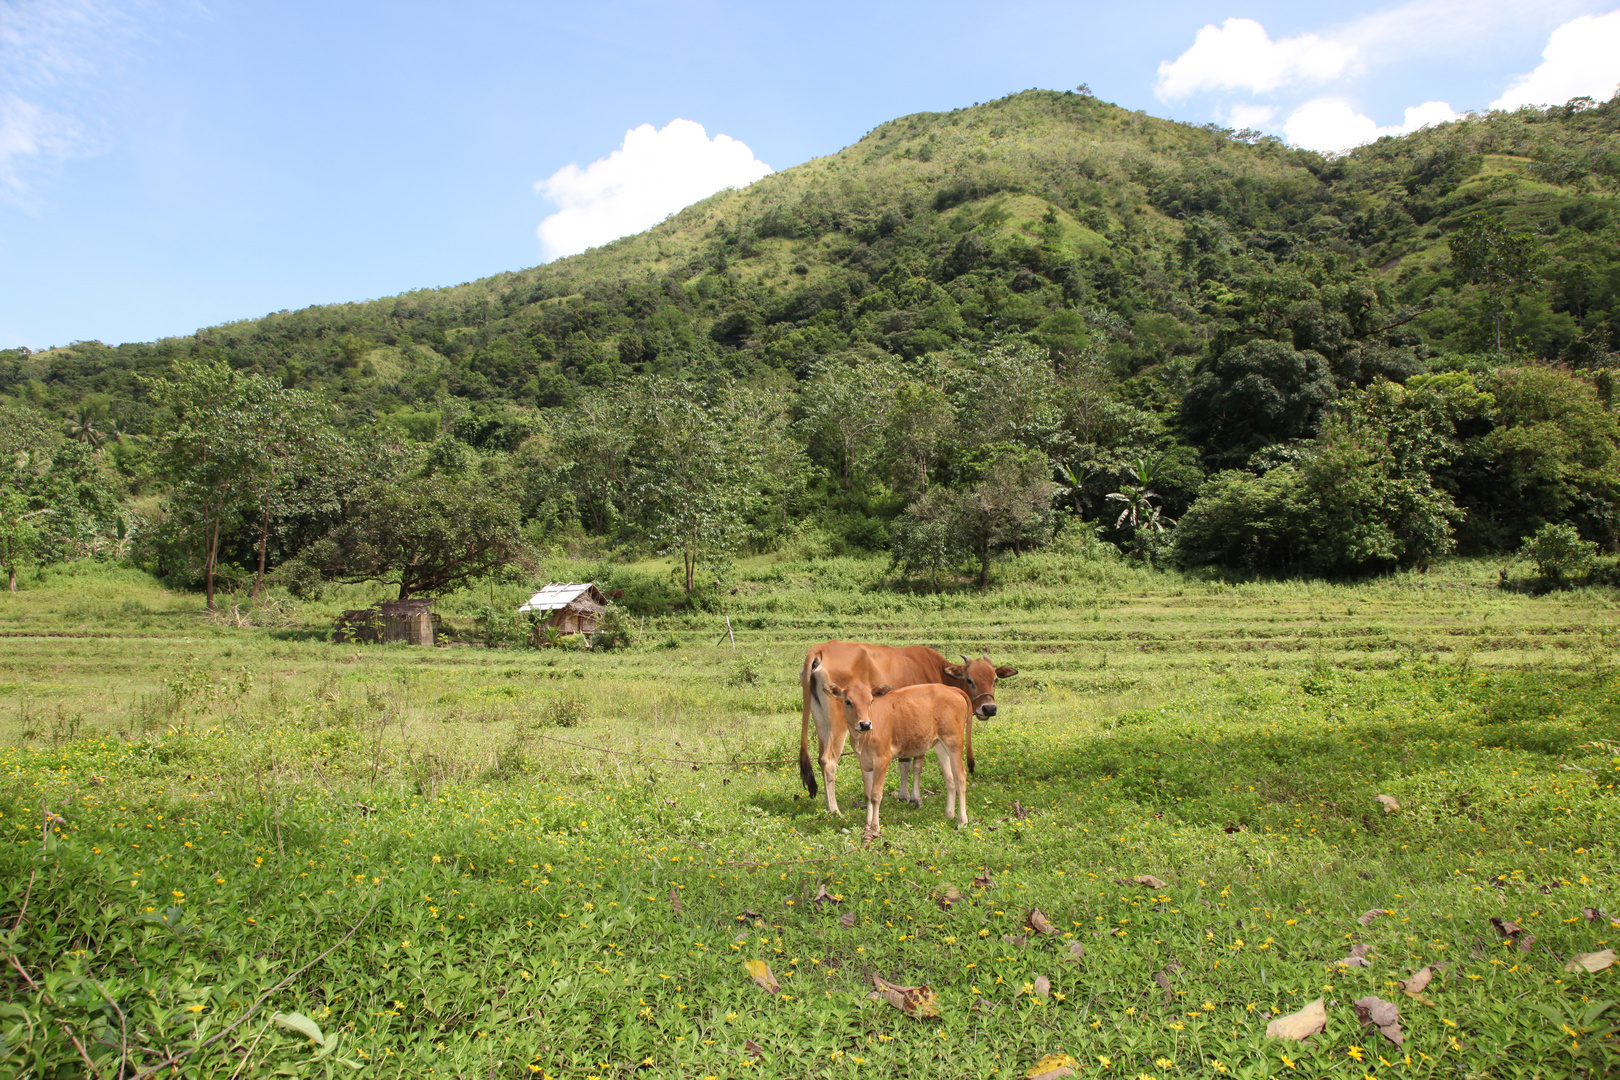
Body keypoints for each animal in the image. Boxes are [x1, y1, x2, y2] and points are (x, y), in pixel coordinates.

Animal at [793, 641, 1010, 809]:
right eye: (970, 680)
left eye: (995, 680)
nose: (989, 708)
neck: (936, 669)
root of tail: (821, 648)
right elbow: (917, 765)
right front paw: (916, 798)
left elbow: (904, 764)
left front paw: (903, 795)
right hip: (839, 725)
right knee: (828, 761)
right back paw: (834, 809)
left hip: (822, 723)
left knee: (820, 758)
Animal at [822, 680, 972, 841]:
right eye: (848, 701)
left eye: (871, 701)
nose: (865, 724)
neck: (862, 739)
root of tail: (952, 689)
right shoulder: (864, 763)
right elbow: (868, 794)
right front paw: (867, 823)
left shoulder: (882, 759)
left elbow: (876, 795)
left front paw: (875, 827)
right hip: (940, 745)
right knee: (950, 779)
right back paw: (949, 814)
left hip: (954, 741)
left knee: (960, 777)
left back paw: (962, 820)